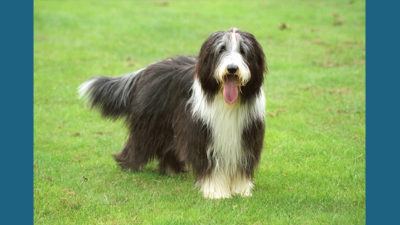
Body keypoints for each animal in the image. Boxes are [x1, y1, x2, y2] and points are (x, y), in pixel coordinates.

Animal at [79, 28, 268, 199]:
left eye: (243, 51)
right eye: (221, 49)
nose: (232, 68)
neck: (226, 101)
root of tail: (147, 69)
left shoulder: (246, 136)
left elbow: (242, 164)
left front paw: (241, 190)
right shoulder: (204, 135)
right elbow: (210, 165)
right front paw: (216, 192)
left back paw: (172, 170)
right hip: (151, 124)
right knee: (138, 143)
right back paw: (129, 166)